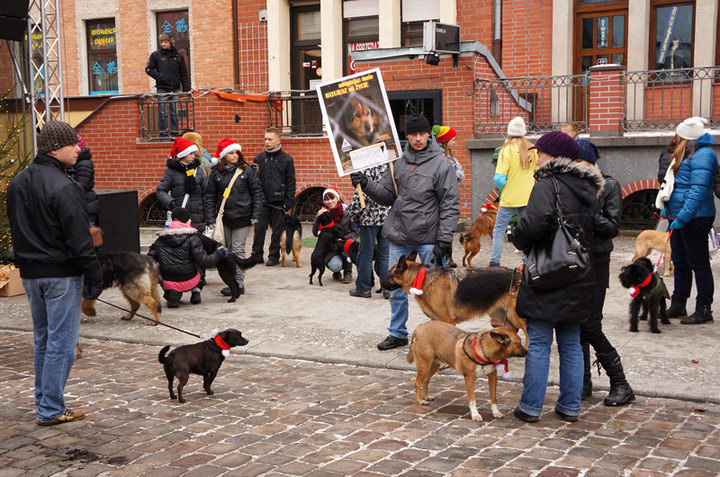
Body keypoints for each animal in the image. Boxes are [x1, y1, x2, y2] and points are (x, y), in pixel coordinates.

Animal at [382, 251, 528, 344]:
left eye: (389, 274)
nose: (382, 284)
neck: (422, 279)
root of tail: (520, 276)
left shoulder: (447, 320)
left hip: (516, 315)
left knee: (527, 335)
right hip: (499, 314)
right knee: (512, 331)